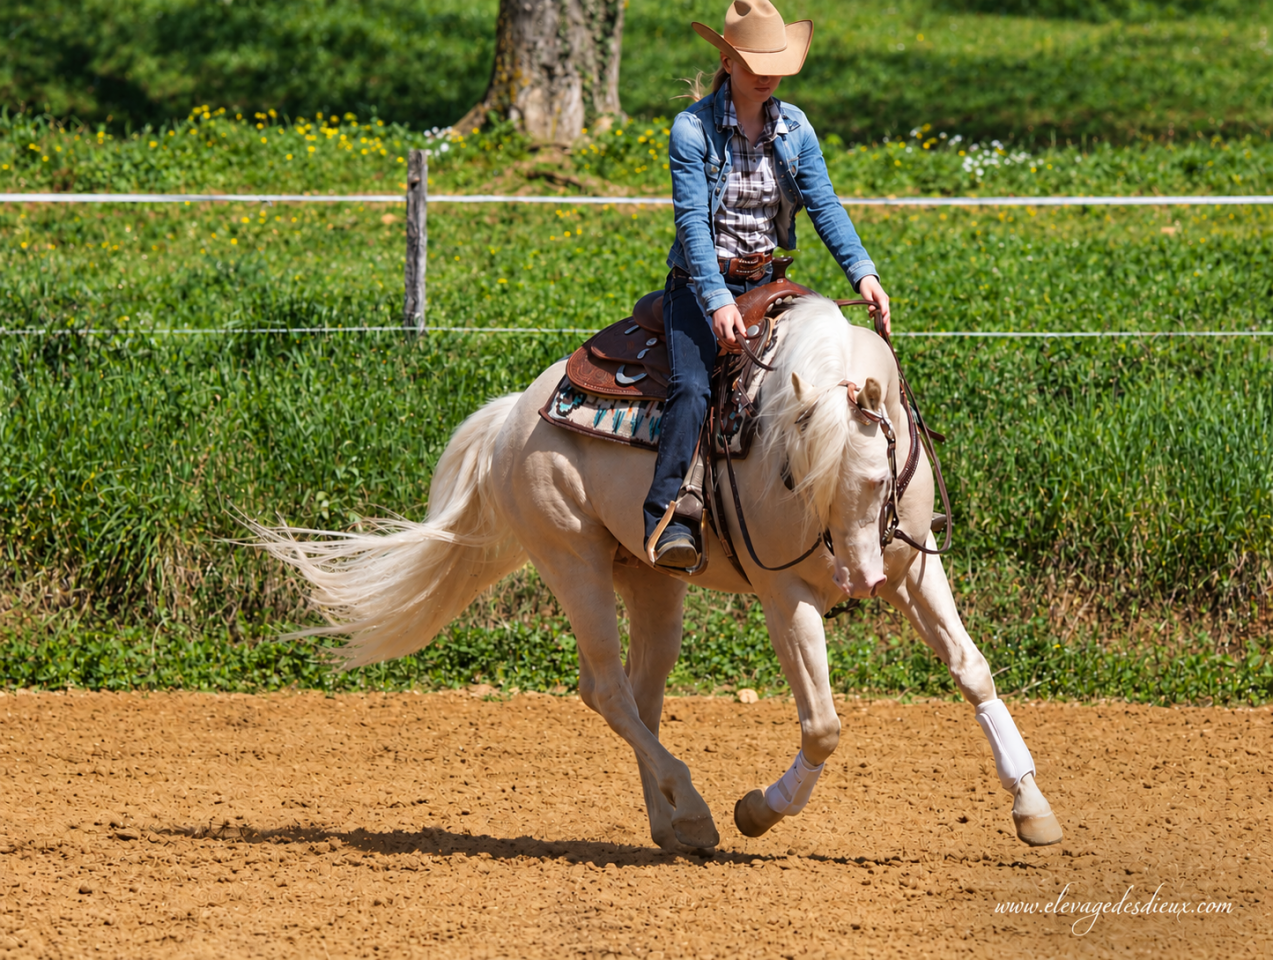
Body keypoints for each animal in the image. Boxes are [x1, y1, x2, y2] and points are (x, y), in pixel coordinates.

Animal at [248, 295, 1062, 853]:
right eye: (793, 477)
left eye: (873, 476)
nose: (853, 581)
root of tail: (513, 414)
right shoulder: (784, 595)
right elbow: (824, 725)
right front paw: (758, 809)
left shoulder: (913, 571)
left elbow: (972, 670)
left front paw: (1032, 809)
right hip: (571, 561)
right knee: (607, 690)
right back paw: (696, 812)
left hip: (650, 580)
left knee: (642, 697)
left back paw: (673, 825)